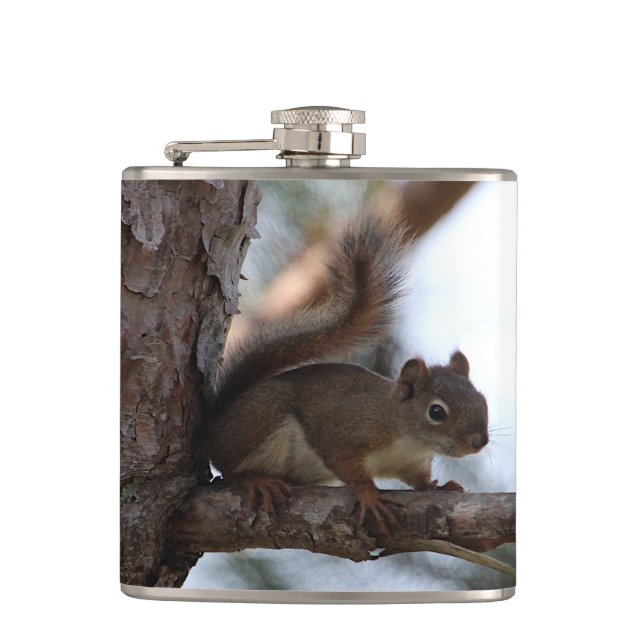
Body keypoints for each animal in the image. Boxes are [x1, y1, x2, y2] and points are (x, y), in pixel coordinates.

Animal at [197, 216, 489, 533]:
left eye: (482, 401)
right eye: (436, 412)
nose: (480, 442)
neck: (405, 436)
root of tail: (215, 429)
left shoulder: (412, 464)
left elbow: (419, 481)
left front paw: (439, 487)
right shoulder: (344, 433)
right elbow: (346, 465)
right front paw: (370, 495)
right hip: (261, 419)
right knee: (229, 468)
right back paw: (255, 480)